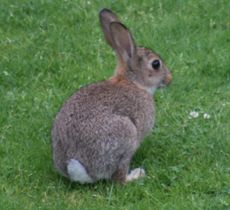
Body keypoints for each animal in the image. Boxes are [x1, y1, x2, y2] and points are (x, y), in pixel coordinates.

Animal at [51, 7, 172, 184]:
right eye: (156, 64)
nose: (170, 79)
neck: (133, 82)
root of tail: (78, 169)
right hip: (127, 136)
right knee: (118, 179)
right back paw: (136, 175)